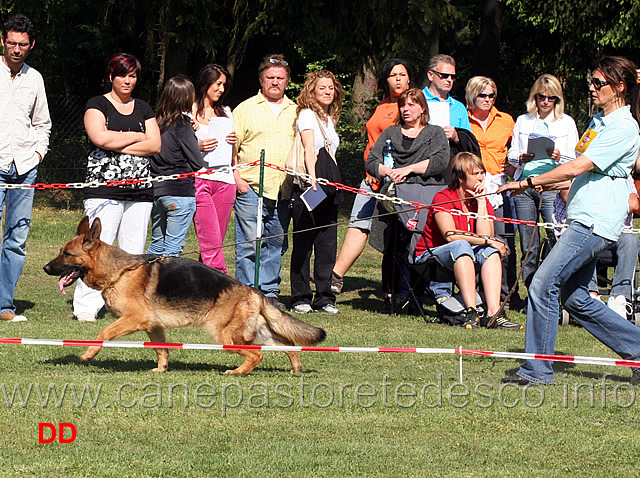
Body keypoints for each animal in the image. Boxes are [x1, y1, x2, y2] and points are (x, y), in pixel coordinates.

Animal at [42, 215, 324, 376]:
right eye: (60, 251)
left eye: (67, 254)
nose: (45, 268)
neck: (119, 271)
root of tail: (252, 290)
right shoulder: (153, 326)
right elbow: (161, 349)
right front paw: (162, 369)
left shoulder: (134, 319)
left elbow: (104, 333)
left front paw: (89, 354)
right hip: (254, 332)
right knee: (288, 344)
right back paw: (295, 368)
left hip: (224, 335)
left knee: (257, 354)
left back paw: (237, 372)